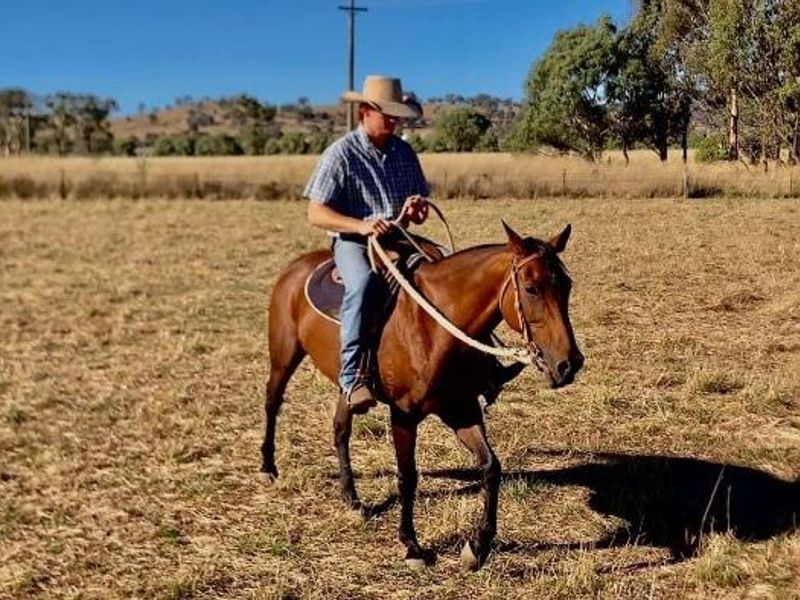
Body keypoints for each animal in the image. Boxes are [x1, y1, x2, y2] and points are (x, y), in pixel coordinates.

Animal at [261, 221, 584, 570]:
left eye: (567, 285)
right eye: (531, 288)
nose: (569, 364)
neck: (433, 328)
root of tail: (296, 266)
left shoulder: (462, 408)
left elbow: (491, 467)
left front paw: (477, 546)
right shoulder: (403, 414)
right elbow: (408, 476)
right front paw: (412, 546)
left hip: (346, 382)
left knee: (340, 427)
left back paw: (352, 499)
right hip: (283, 355)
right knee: (272, 401)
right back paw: (268, 467)